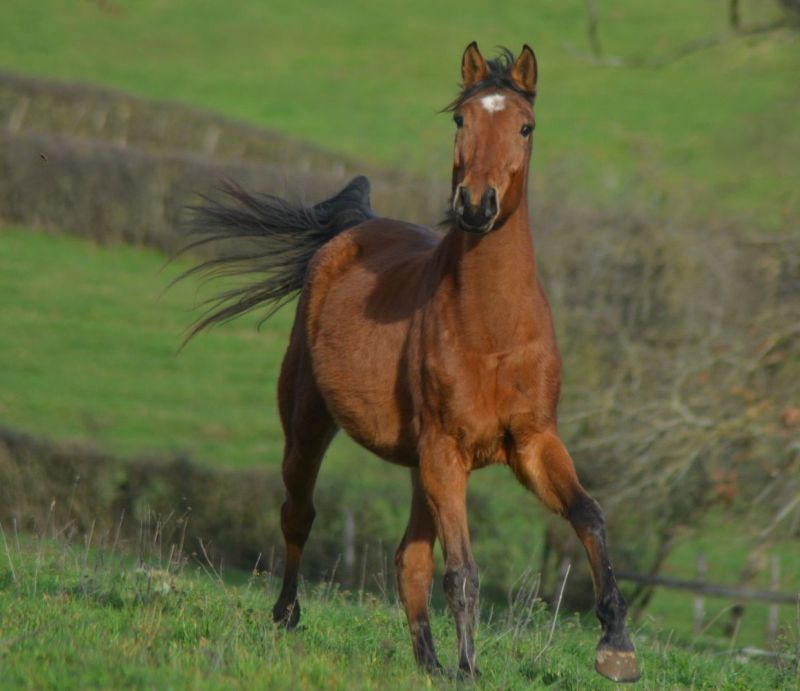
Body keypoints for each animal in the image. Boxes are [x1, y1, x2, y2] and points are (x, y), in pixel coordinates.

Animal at [184, 40, 640, 684]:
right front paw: (471, 669)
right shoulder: (447, 451)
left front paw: (617, 646)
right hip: (311, 428)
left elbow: (589, 515)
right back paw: (288, 616)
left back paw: (428, 663)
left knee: (409, 559)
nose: (475, 205)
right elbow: (464, 571)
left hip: (419, 469)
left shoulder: (531, 442)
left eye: (525, 126)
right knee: (299, 515)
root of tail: (352, 229)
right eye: (460, 120)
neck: (493, 330)